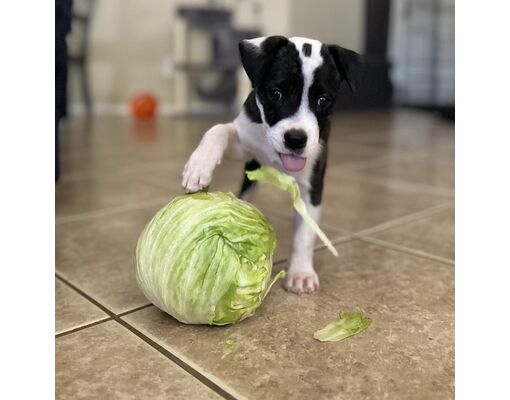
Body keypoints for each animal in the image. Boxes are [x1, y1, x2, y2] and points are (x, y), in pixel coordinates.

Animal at [181, 35, 364, 294]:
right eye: (276, 93)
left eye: (323, 100)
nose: (296, 139)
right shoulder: (242, 143)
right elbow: (218, 129)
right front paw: (199, 166)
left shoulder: (312, 187)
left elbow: (305, 234)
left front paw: (301, 272)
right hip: (250, 169)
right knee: (246, 191)